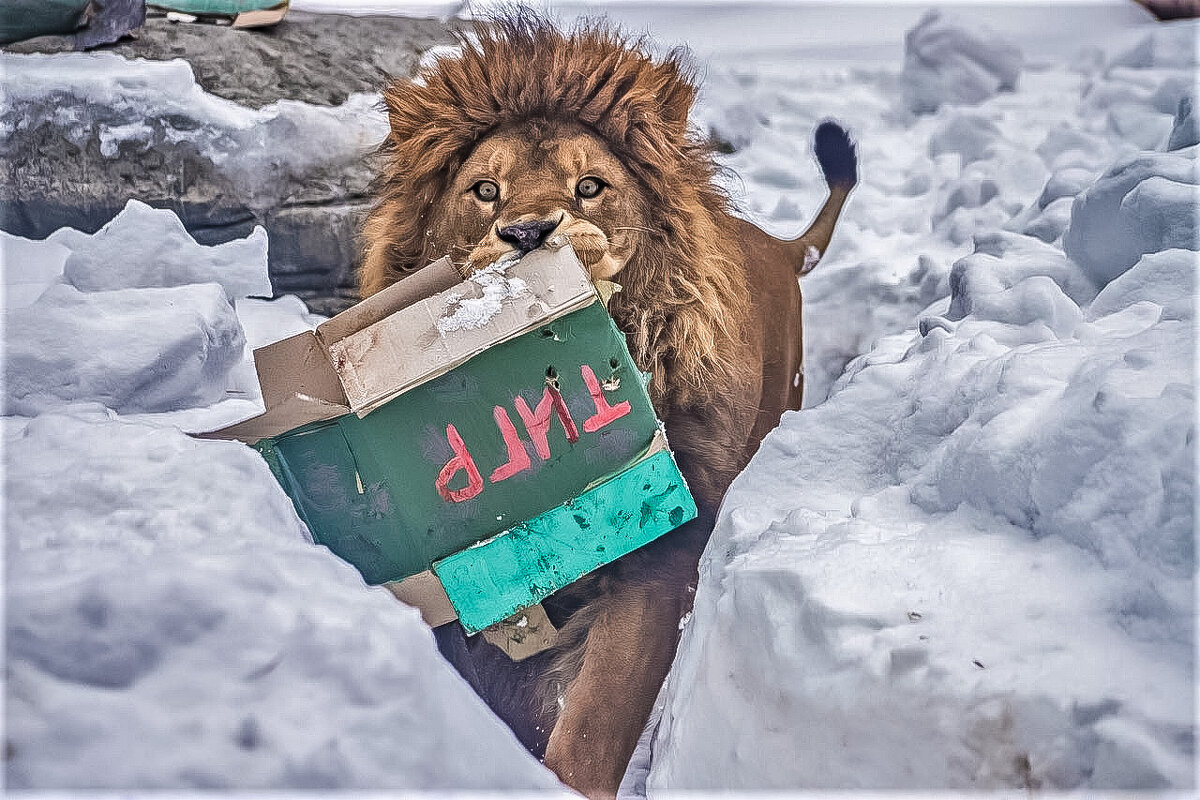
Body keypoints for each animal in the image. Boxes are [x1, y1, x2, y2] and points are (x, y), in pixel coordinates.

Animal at [360, 15, 859, 796]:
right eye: (484, 190)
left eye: (590, 186)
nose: (527, 233)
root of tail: (777, 247)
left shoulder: (663, 546)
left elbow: (596, 720)